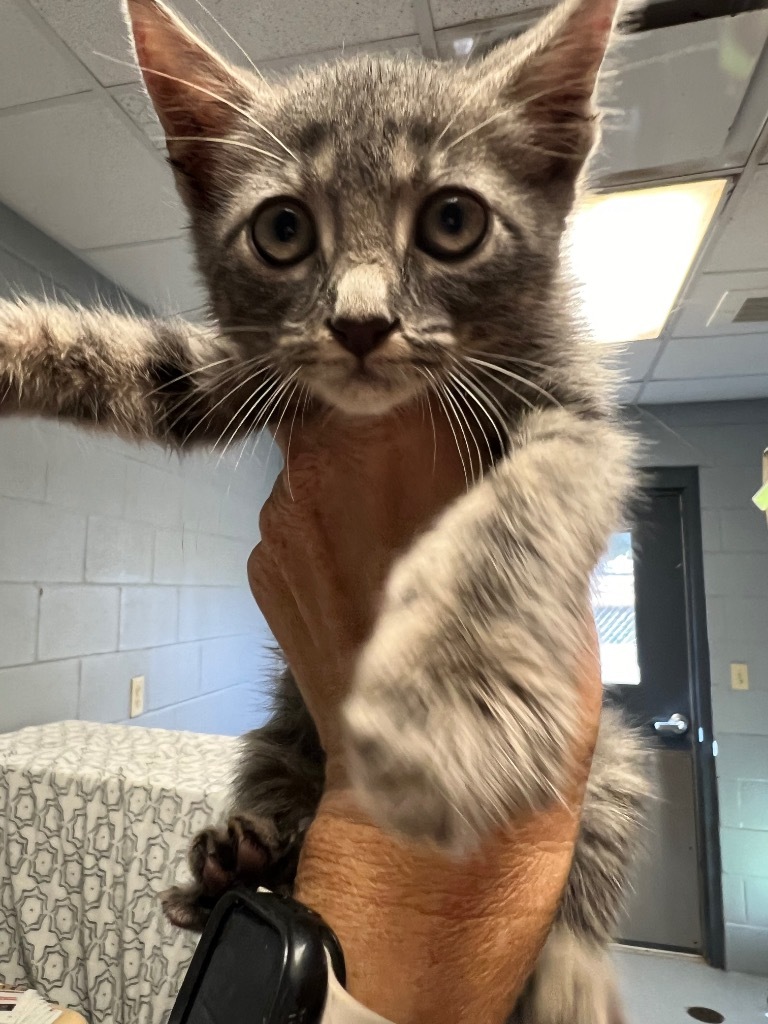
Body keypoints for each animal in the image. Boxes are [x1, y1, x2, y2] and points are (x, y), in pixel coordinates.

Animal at [0, 2, 651, 1015]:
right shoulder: (242, 375)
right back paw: (234, 866)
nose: (360, 323)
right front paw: (12, 341)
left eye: (453, 221)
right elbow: (124, 354)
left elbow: (530, 503)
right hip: (278, 731)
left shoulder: (578, 416)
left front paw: (450, 693)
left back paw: (574, 975)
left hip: (608, 759)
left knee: (590, 869)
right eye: (281, 230)